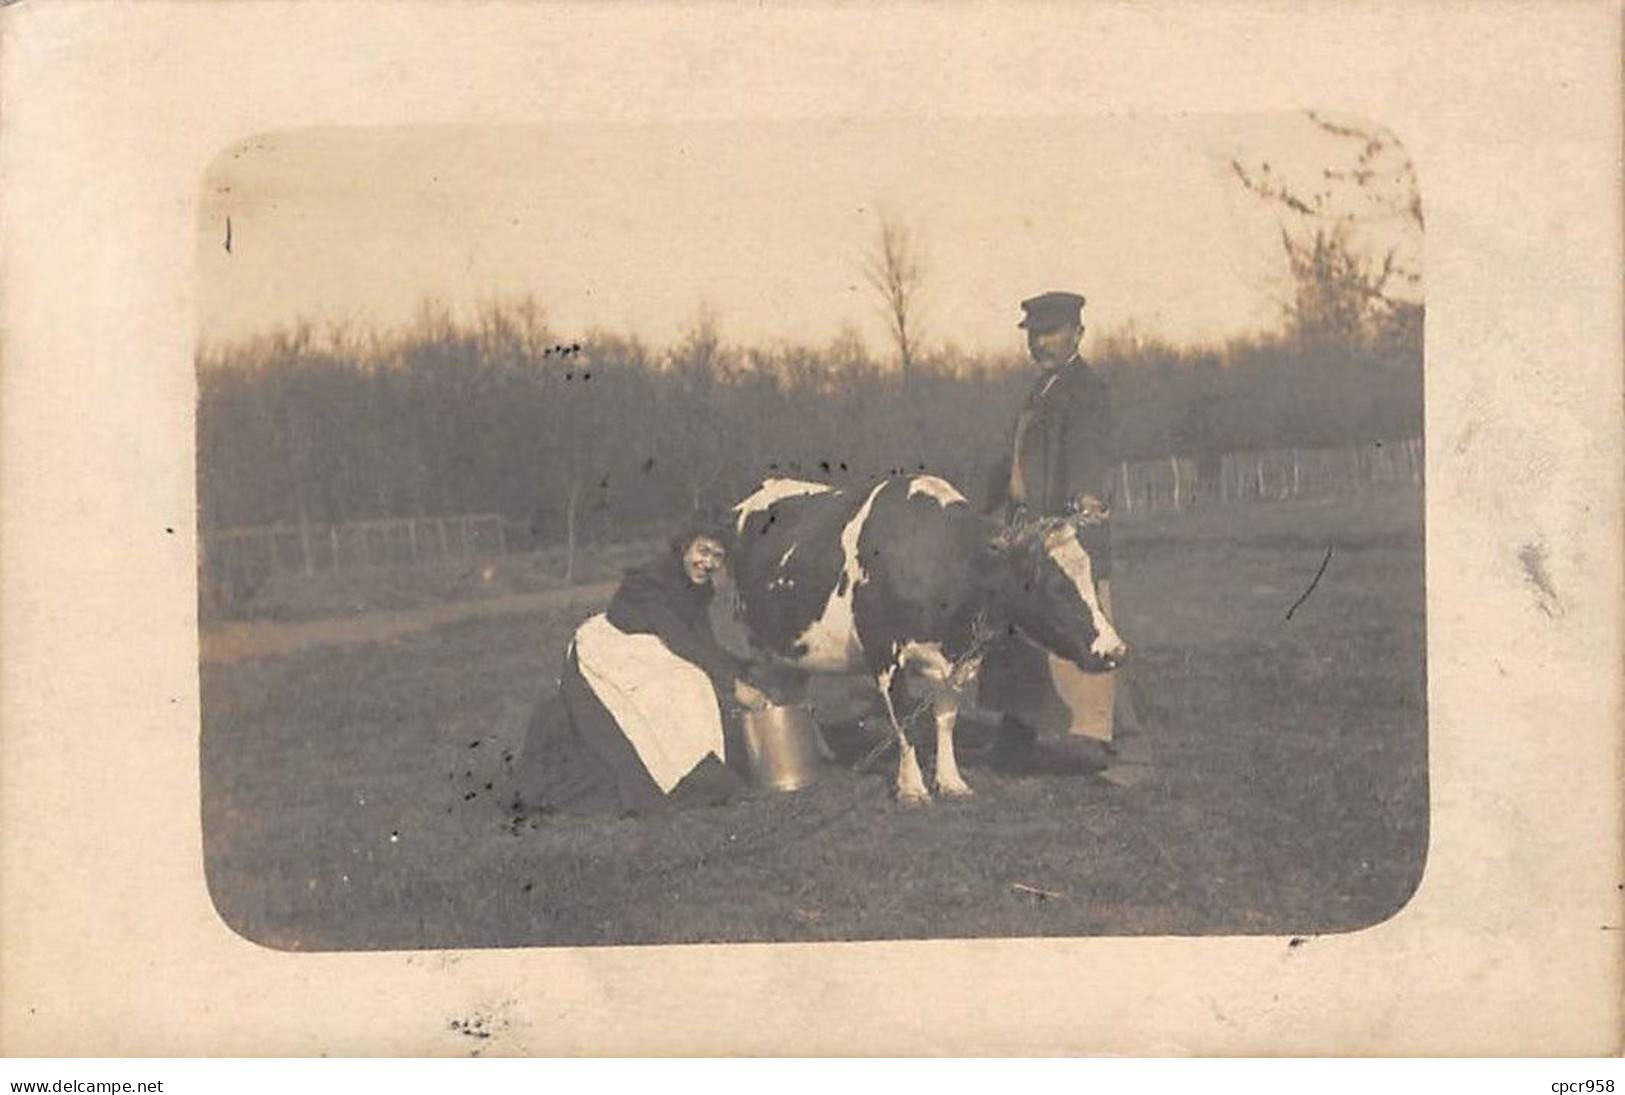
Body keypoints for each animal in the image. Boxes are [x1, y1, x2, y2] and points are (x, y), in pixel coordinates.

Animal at [718, 471, 1124, 802]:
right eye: (1050, 585)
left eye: (1091, 576)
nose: (1115, 651)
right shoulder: (885, 656)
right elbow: (905, 722)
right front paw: (912, 787)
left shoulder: (960, 660)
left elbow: (945, 719)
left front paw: (950, 780)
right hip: (742, 638)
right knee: (751, 697)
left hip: (796, 644)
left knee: (794, 692)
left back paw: (819, 751)